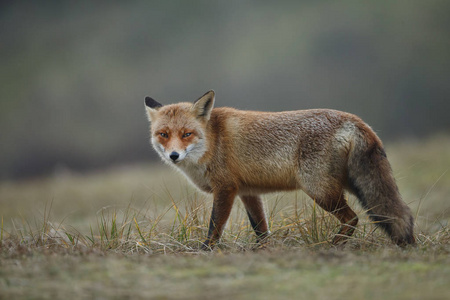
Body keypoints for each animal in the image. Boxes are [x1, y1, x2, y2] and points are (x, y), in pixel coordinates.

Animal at [144, 90, 414, 250]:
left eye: (186, 134)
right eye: (164, 135)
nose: (174, 155)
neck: (212, 140)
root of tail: (355, 120)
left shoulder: (225, 188)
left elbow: (214, 226)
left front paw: (205, 250)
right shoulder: (247, 192)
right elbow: (260, 228)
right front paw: (261, 250)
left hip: (320, 190)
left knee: (353, 218)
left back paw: (332, 245)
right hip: (349, 185)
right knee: (395, 212)